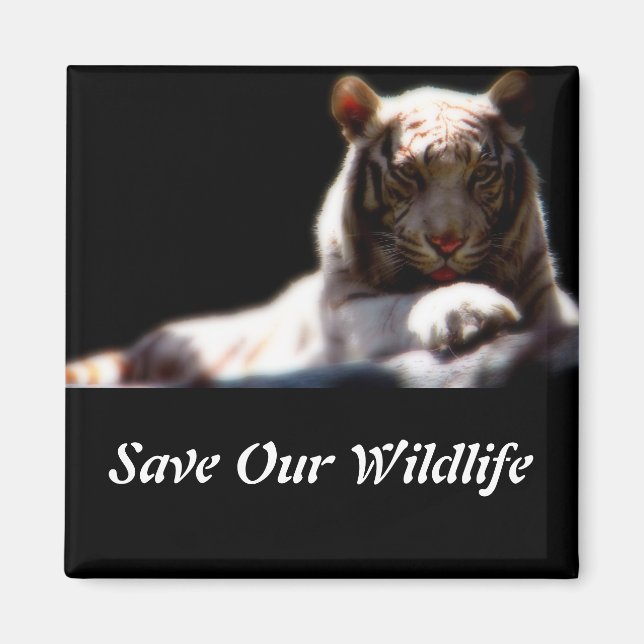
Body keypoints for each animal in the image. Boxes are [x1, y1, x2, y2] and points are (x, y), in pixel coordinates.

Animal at [65, 71, 578, 386]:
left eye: (481, 174)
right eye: (409, 173)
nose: (447, 242)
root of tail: (142, 346)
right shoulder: (345, 314)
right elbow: (396, 307)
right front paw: (468, 309)